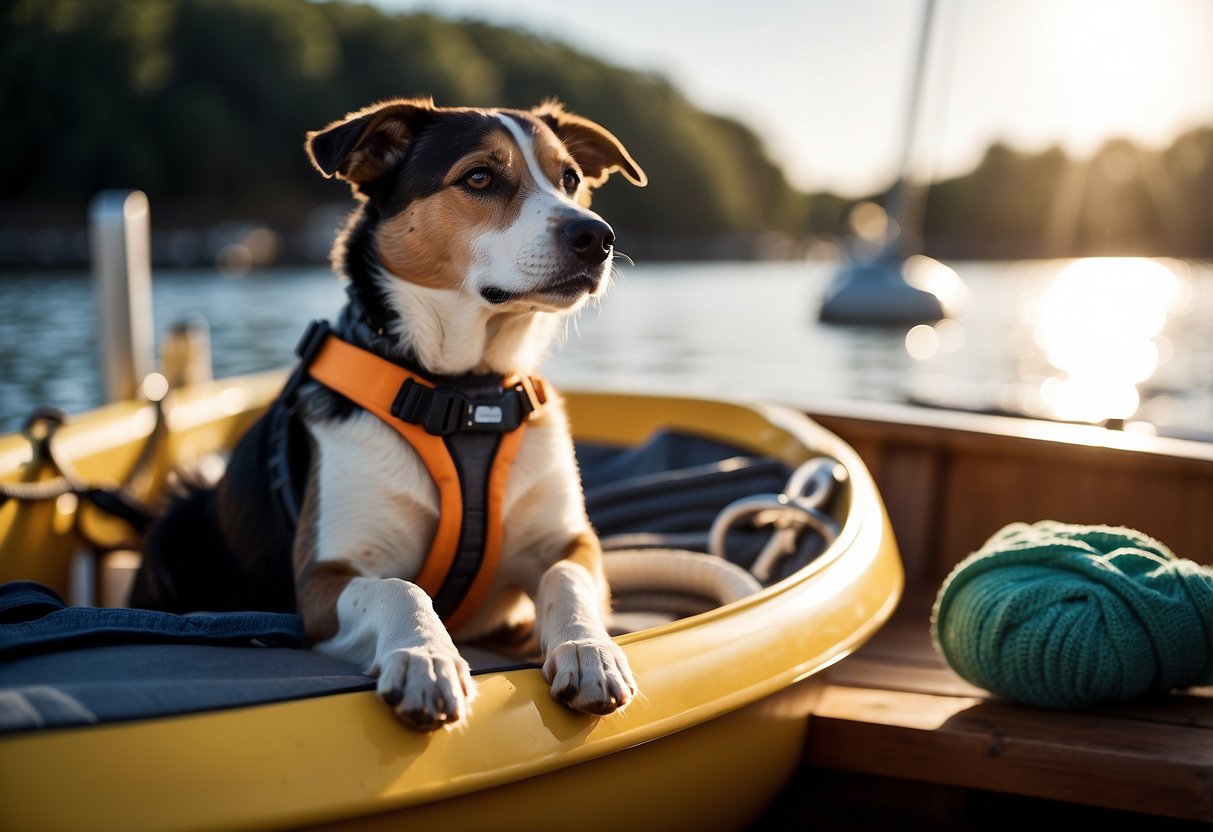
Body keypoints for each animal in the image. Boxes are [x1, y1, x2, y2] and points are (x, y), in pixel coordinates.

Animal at [129, 101, 650, 732]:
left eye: (570, 179)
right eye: (479, 177)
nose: (596, 237)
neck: (462, 393)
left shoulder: (570, 543)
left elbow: (565, 578)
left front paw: (586, 647)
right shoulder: (321, 583)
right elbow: (398, 586)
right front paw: (425, 655)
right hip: (172, 528)